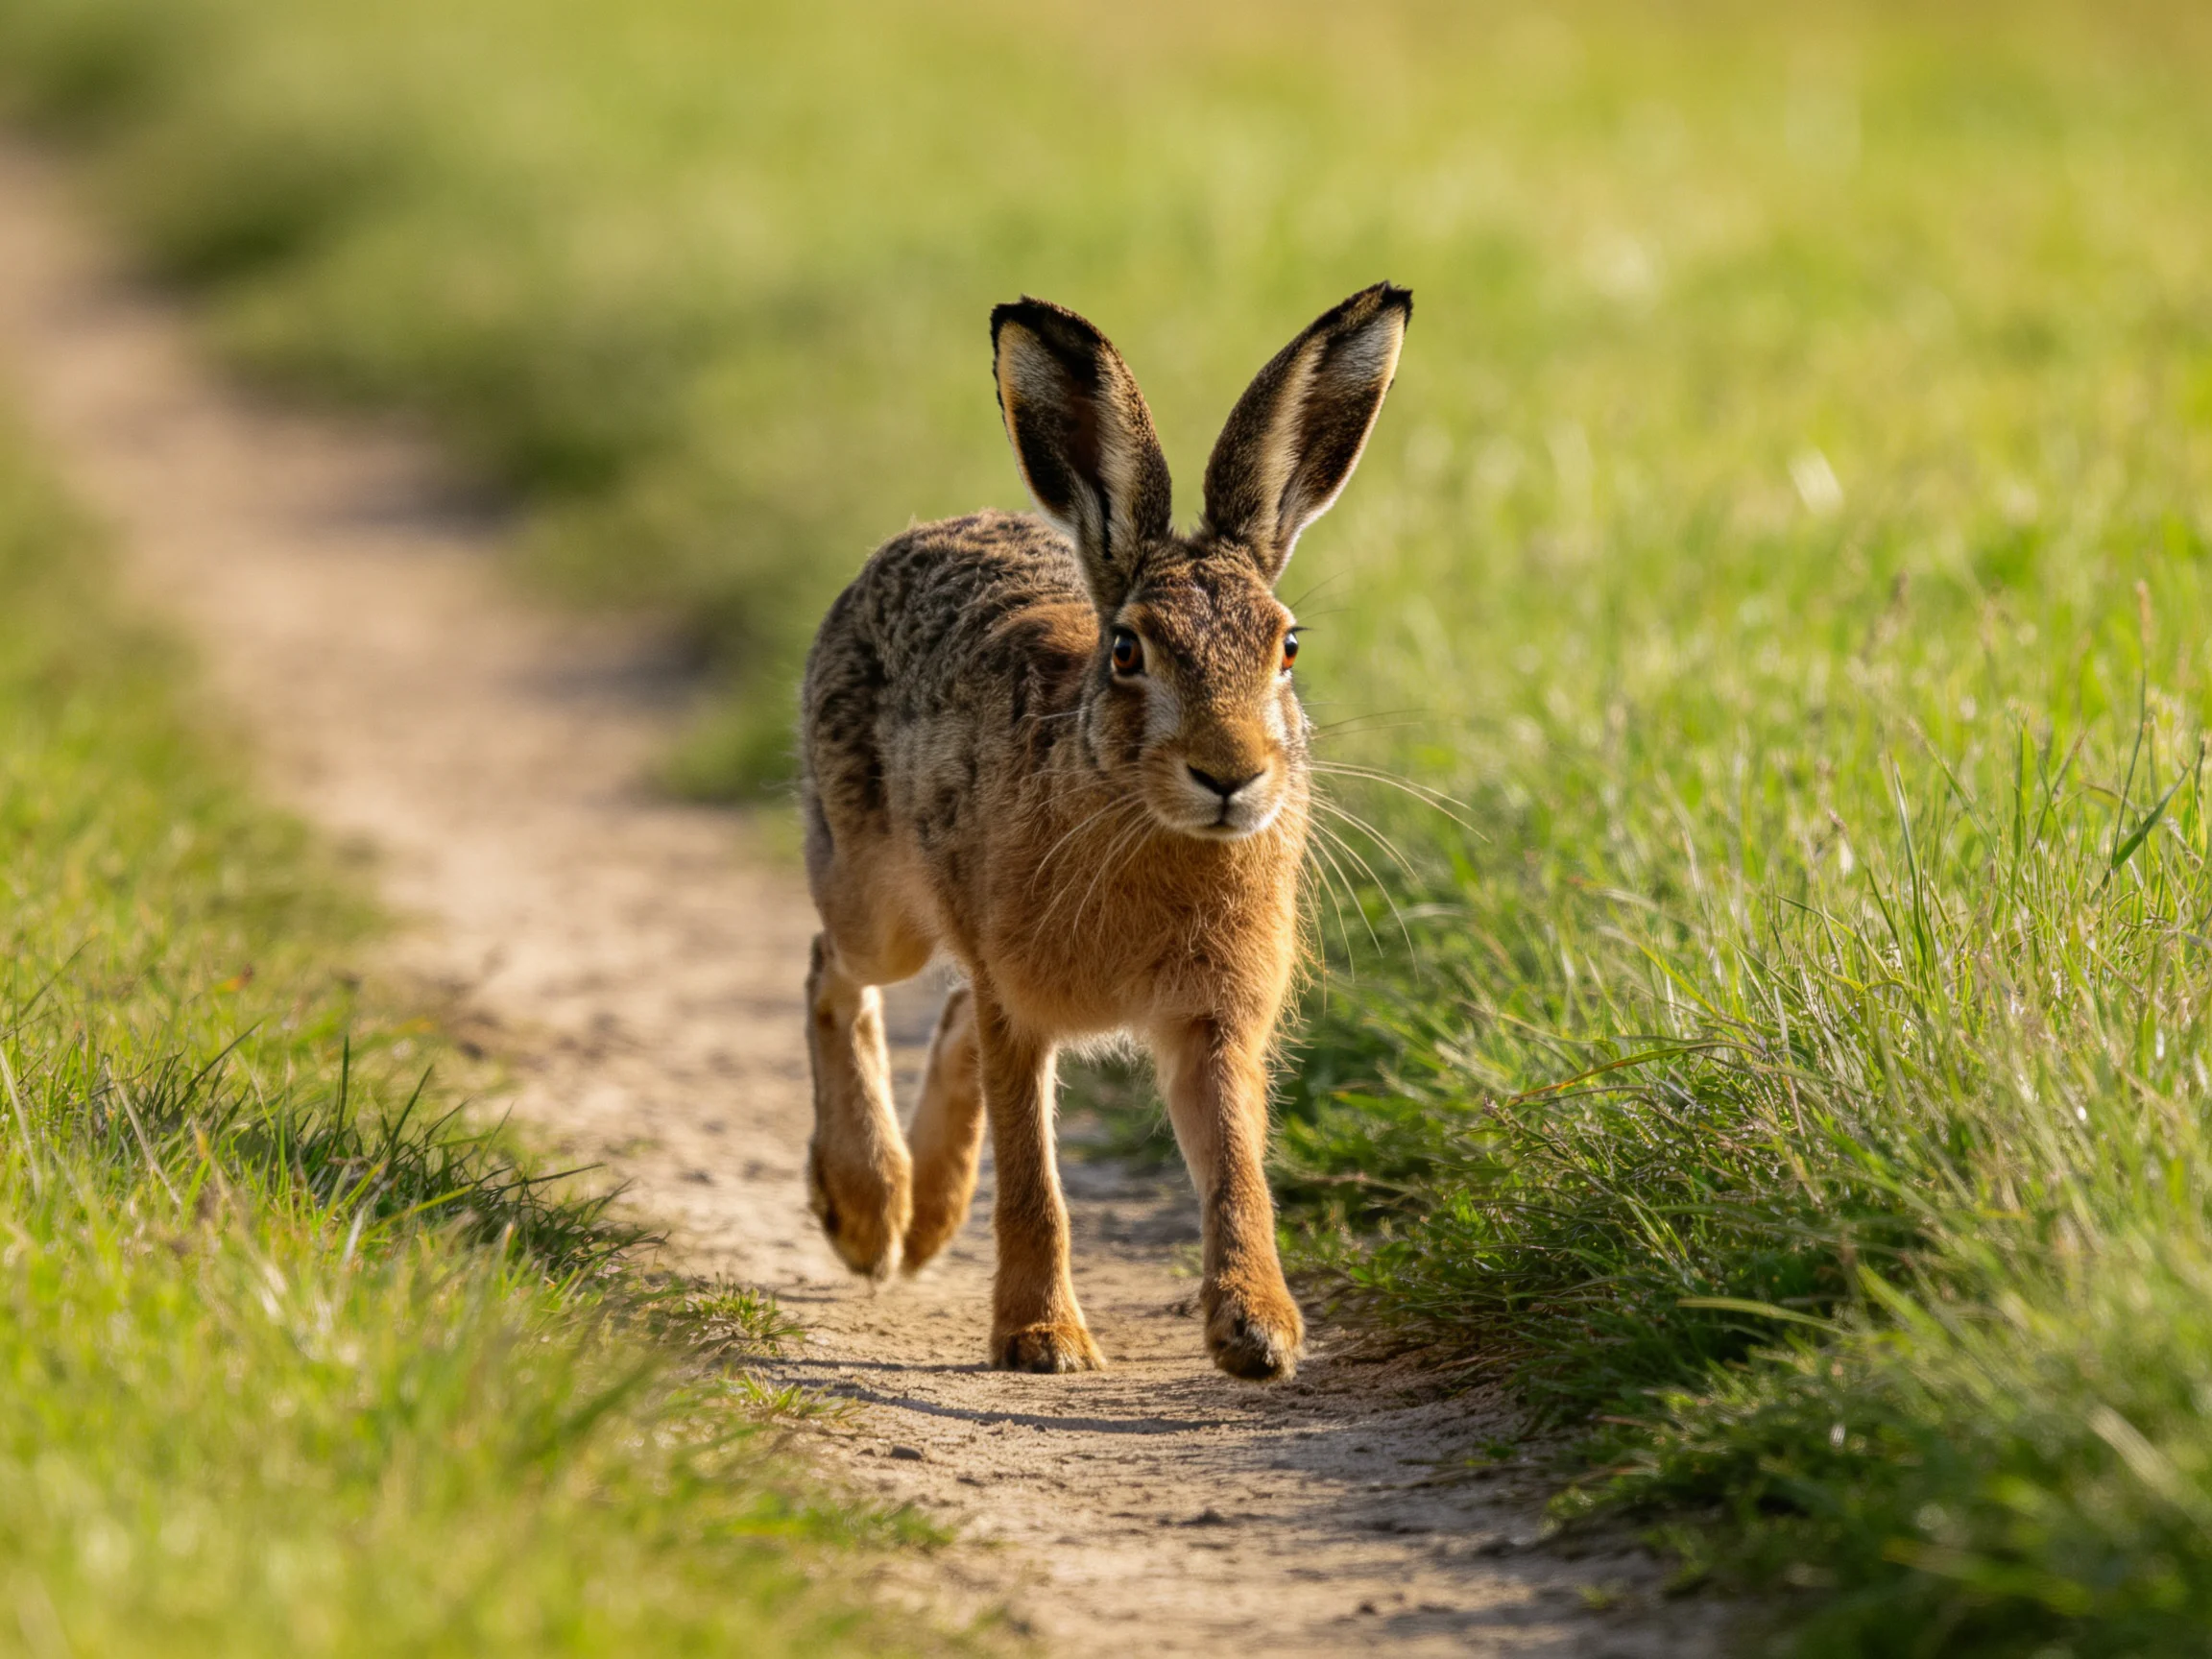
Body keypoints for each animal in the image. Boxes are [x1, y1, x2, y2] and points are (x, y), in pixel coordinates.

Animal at [798, 283, 1411, 1380]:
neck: (1149, 821)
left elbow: (1237, 1171)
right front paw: (1043, 1340)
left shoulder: (1216, 1017)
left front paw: (1259, 1332)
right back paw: (867, 1210)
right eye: (1128, 651)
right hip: (876, 896)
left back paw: (926, 1220)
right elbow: (1035, 1183)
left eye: (1288, 647)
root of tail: (912, 540)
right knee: (836, 967)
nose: (1231, 773)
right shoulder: (1023, 1007)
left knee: (943, 1009)